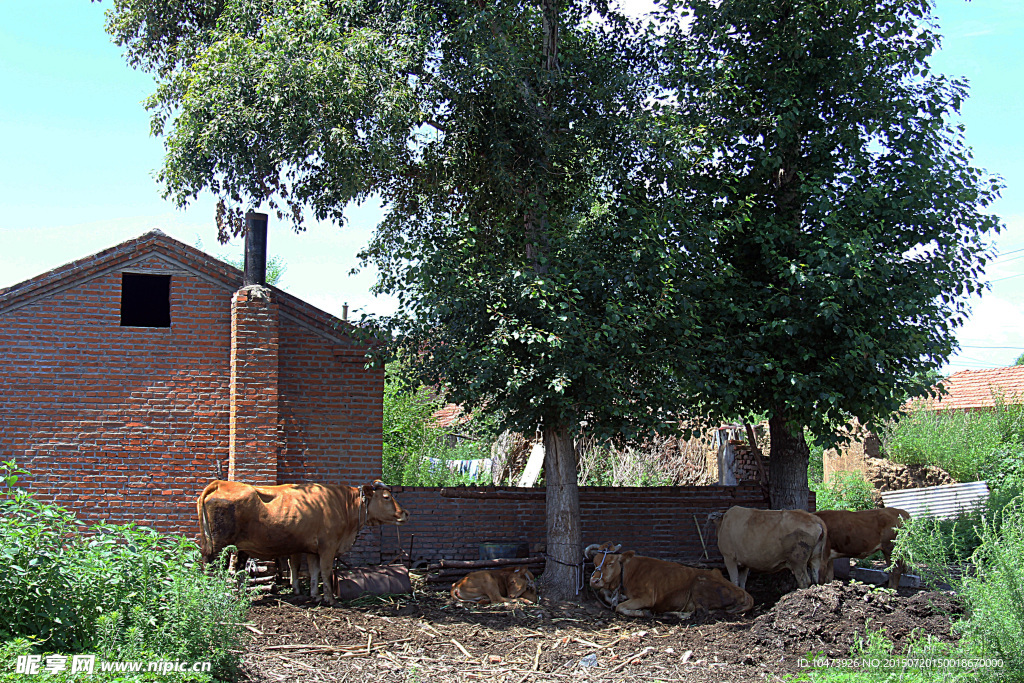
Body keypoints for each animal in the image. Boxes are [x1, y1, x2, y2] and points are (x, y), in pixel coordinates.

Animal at [195, 479, 407, 606]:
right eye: (387, 497)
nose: (405, 513)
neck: (342, 504)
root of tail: (220, 483)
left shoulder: (313, 549)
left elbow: (313, 572)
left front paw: (315, 595)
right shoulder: (328, 546)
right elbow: (325, 571)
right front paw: (330, 599)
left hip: (237, 547)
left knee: (237, 570)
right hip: (218, 547)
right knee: (212, 569)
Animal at [585, 548, 753, 618]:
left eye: (610, 563)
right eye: (594, 563)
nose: (594, 580)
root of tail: (744, 593)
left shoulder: (647, 597)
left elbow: (619, 607)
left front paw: (642, 612)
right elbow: (605, 594)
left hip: (699, 584)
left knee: (701, 612)